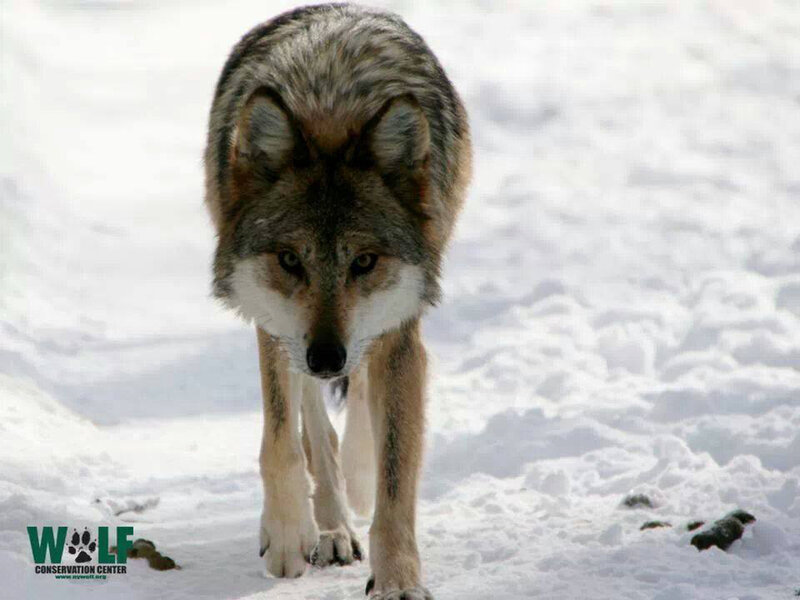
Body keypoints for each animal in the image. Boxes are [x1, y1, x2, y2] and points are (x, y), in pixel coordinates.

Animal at [204, 4, 471, 598]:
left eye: (364, 262)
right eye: (290, 260)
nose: (327, 357)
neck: (330, 103)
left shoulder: (397, 328)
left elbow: (395, 480)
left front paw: (397, 580)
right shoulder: (274, 317)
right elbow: (281, 440)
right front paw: (287, 534)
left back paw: (353, 483)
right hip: (285, 330)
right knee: (311, 426)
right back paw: (327, 528)